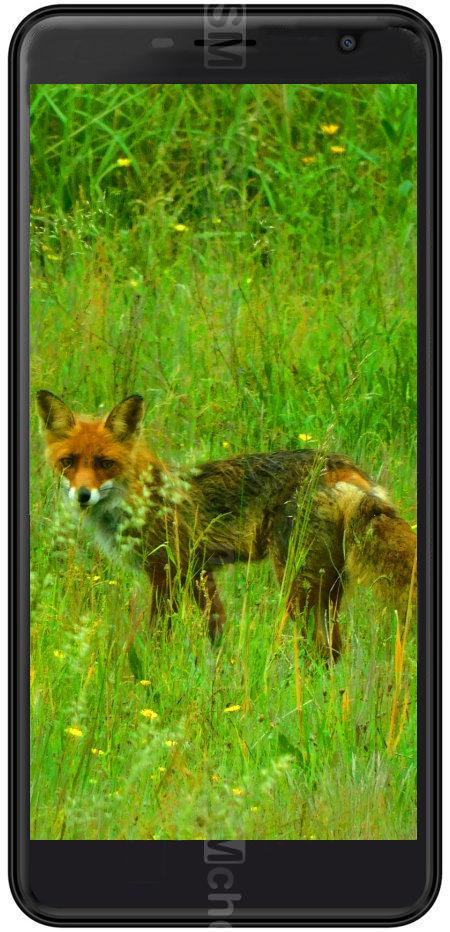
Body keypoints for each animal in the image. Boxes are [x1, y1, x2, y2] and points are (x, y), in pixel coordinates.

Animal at [36, 390, 417, 659]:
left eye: (105, 463)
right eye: (69, 461)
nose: (83, 495)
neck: (140, 497)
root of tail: (341, 466)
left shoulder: (167, 571)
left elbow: (160, 634)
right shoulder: (200, 571)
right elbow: (216, 628)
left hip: (296, 581)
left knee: (319, 648)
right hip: (328, 584)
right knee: (335, 650)